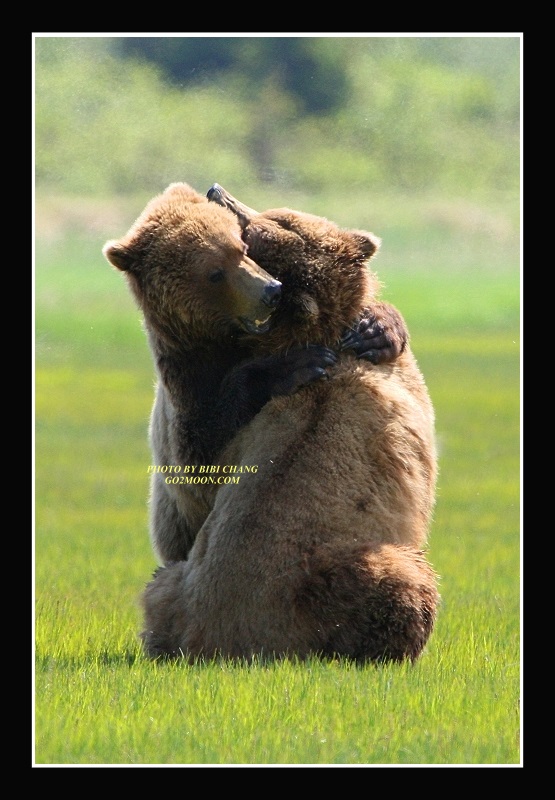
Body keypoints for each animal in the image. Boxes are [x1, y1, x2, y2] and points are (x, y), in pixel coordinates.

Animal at [103, 182, 410, 565]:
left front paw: (375, 331)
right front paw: (299, 363)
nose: (214, 188)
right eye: (214, 273)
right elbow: (201, 452)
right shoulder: (189, 379)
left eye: (245, 245)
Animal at [139, 184, 440, 664]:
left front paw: (378, 326)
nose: (216, 189)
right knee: (400, 585)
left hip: (173, 590)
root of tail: (227, 644)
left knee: (158, 588)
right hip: (329, 582)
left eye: (257, 224)